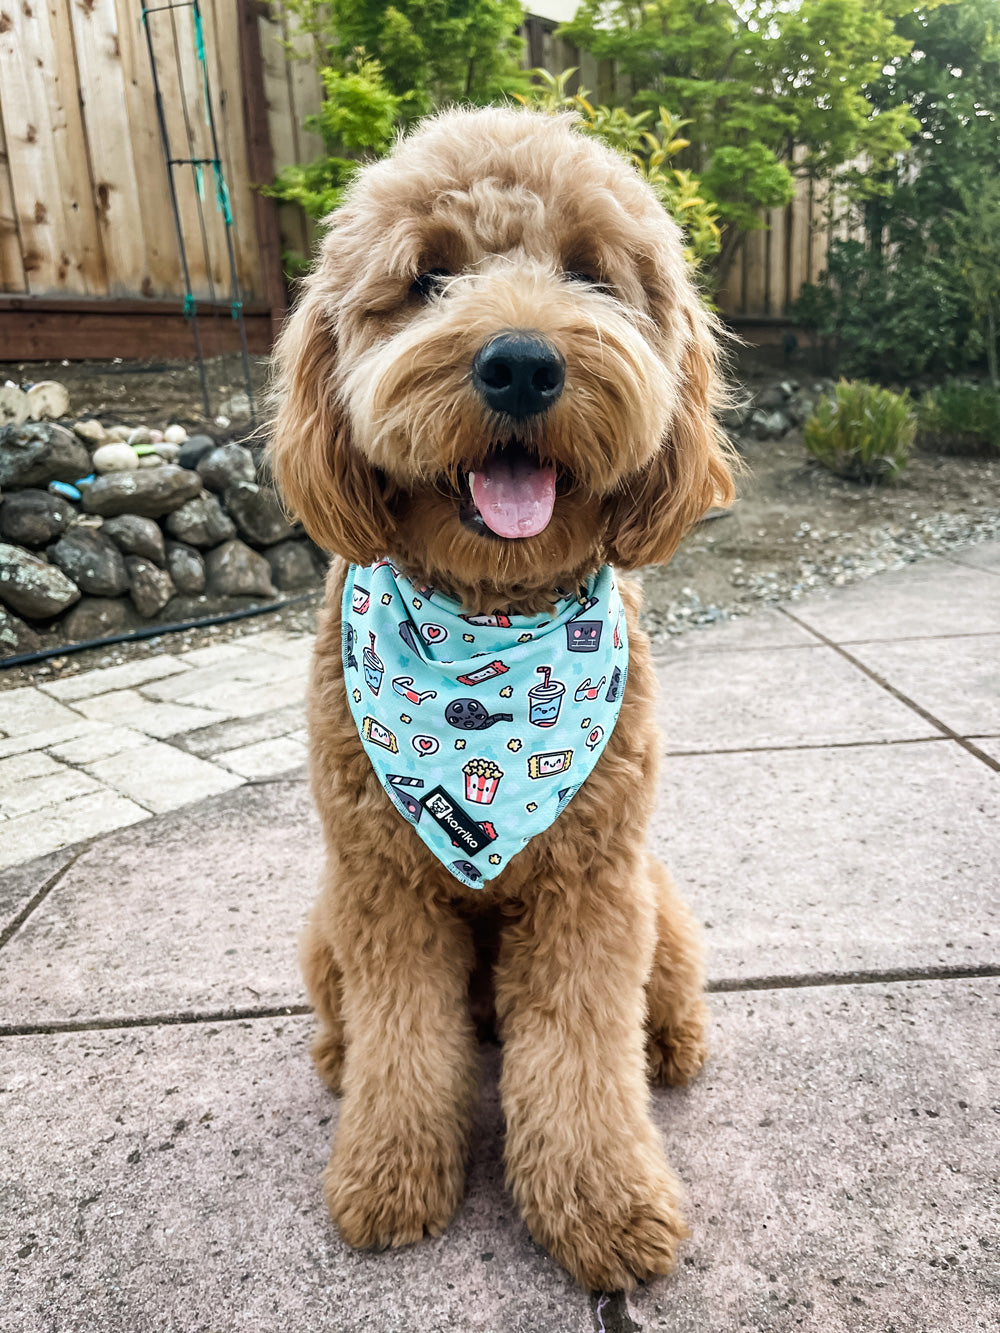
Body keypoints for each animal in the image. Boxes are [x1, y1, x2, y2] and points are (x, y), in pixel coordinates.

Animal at [270, 106, 741, 1290]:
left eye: (590, 273)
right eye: (427, 277)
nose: (522, 363)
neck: (487, 620)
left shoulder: (590, 886)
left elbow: (580, 1050)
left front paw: (603, 1202)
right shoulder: (383, 885)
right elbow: (403, 1039)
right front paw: (390, 1175)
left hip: (657, 902)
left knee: (655, 1002)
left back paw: (671, 1046)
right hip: (325, 921)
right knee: (355, 1020)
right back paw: (337, 1057)